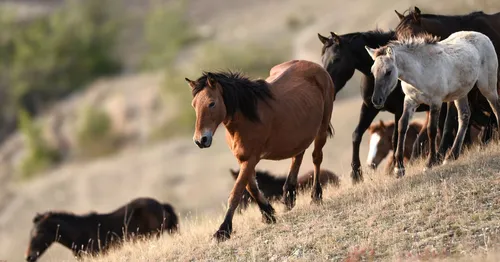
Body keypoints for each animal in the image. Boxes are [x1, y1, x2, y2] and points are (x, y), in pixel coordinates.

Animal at [185, 59, 336, 242]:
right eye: (194, 105)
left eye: (211, 103)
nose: (201, 140)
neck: (246, 118)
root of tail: (317, 66)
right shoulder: (243, 160)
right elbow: (251, 187)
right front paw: (268, 213)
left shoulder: (251, 159)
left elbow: (237, 192)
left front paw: (223, 230)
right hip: (302, 133)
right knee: (298, 156)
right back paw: (289, 196)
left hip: (321, 128)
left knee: (316, 158)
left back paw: (315, 196)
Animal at [366, 31, 498, 177]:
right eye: (372, 71)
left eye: (388, 72)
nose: (376, 100)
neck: (421, 70)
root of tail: (483, 36)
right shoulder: (410, 101)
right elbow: (402, 126)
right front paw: (399, 169)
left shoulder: (436, 102)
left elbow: (432, 130)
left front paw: (430, 163)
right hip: (461, 94)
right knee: (464, 116)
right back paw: (451, 156)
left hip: (487, 87)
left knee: (495, 108)